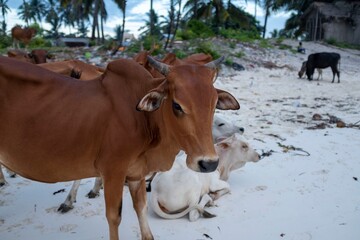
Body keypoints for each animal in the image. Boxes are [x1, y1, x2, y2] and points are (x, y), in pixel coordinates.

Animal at [0, 55, 239, 239]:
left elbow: (141, 210)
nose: (209, 163)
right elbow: (114, 216)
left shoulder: (136, 174)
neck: (143, 119)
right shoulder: (113, 171)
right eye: (177, 105)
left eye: (214, 105)